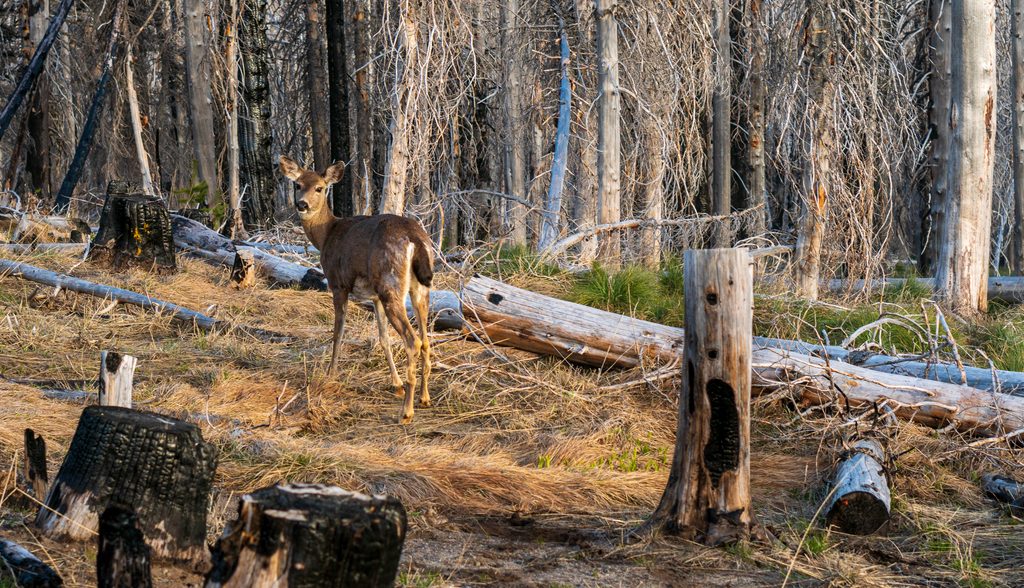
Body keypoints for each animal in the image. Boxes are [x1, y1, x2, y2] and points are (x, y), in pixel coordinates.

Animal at [279, 156, 432, 424]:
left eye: (320, 188)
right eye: (297, 184)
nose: (302, 204)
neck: (326, 235)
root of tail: (415, 238)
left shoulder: (338, 283)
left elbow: (337, 333)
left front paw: (330, 374)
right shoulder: (374, 296)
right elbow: (383, 338)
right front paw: (396, 384)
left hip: (391, 284)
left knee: (412, 340)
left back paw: (406, 411)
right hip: (415, 288)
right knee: (425, 340)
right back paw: (424, 397)